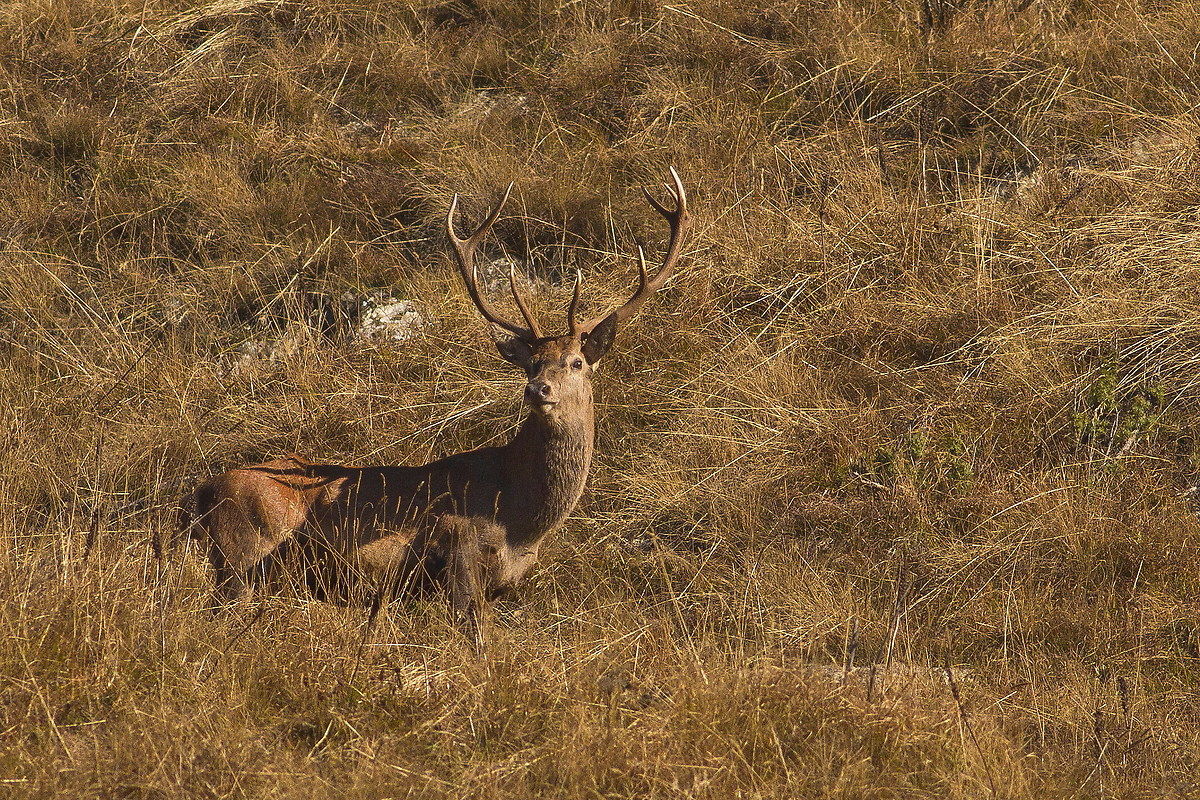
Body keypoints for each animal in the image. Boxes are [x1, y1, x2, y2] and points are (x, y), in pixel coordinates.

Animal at [179, 169, 689, 647]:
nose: (537, 389)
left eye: (577, 362)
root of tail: (202, 493)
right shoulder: (459, 552)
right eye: (532, 363)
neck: (519, 518)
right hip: (242, 557)